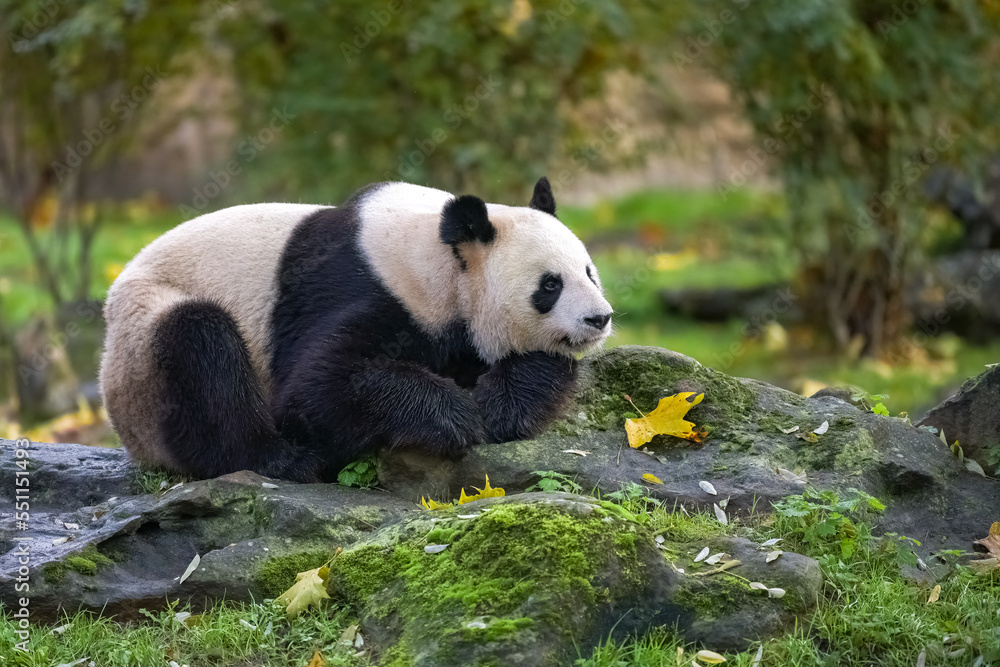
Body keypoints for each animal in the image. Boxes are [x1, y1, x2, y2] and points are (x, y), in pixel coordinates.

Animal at [99, 178, 613, 483]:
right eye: (550, 284)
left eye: (589, 273)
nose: (600, 318)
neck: (435, 256)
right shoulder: (356, 287)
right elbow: (317, 387)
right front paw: (456, 417)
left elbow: (539, 364)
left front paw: (500, 405)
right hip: (143, 343)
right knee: (202, 347)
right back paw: (286, 459)